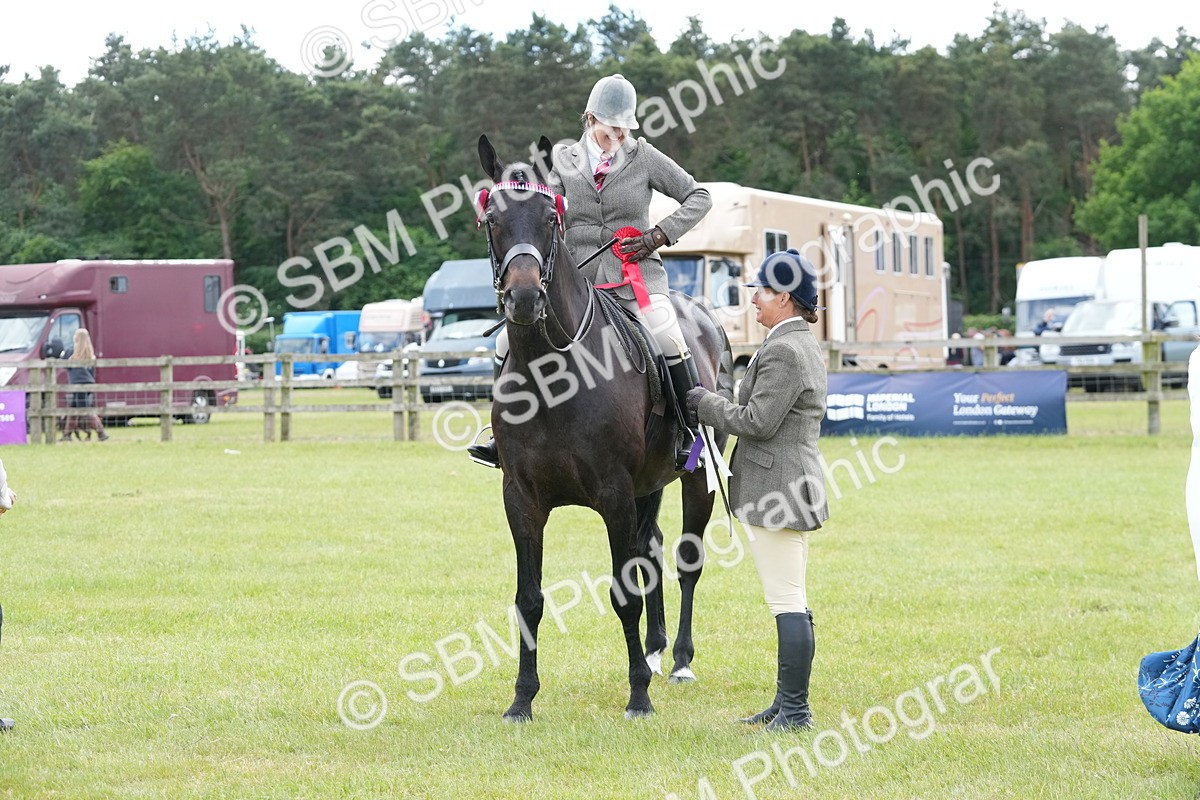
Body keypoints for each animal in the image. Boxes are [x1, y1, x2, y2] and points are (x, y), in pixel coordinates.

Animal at [476, 134, 736, 721]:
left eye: (550, 217)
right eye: (492, 220)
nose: (524, 299)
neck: (550, 376)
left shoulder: (614, 493)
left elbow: (624, 594)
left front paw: (638, 694)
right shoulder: (519, 498)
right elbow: (529, 600)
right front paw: (522, 699)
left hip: (694, 478)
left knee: (685, 560)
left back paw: (678, 659)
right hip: (649, 484)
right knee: (653, 548)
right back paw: (657, 651)